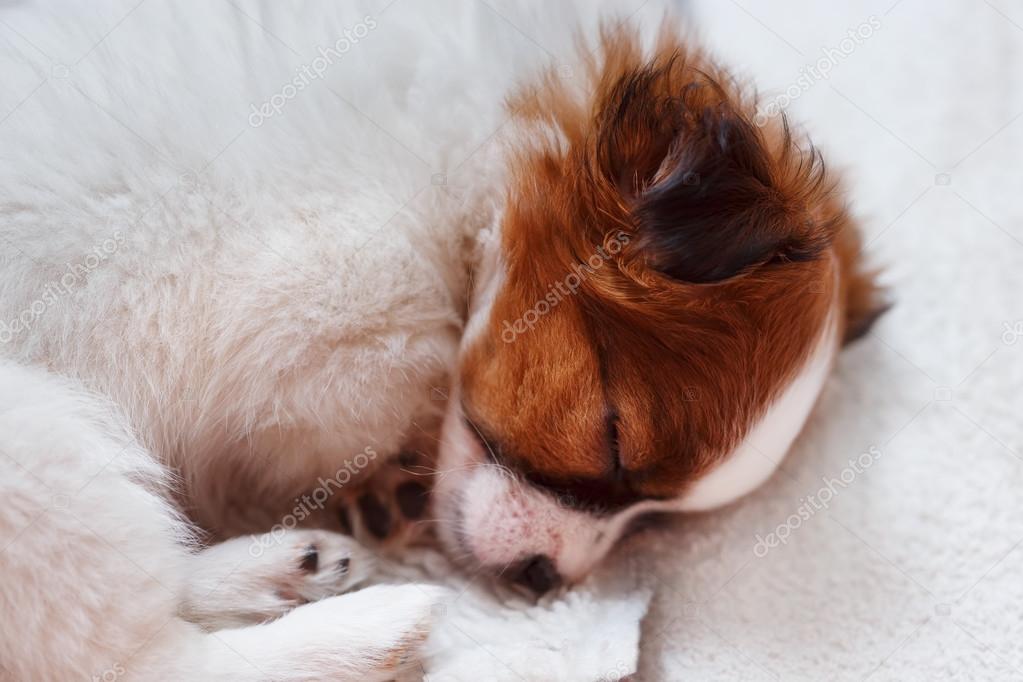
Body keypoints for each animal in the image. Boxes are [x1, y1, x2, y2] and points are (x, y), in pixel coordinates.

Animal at [0, 1, 879, 682]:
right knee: (135, 660)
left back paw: (284, 569)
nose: (543, 577)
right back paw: (367, 631)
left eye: (654, 519)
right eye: (613, 436)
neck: (474, 178)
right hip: (36, 448)